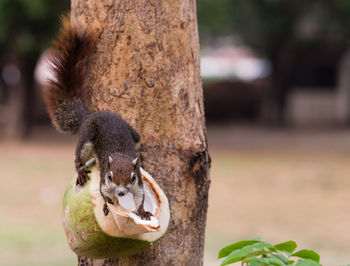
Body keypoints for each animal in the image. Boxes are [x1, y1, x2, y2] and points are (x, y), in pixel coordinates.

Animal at [42, 17, 152, 220]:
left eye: (132, 177)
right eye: (110, 176)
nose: (121, 193)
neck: (119, 155)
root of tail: (93, 115)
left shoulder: (139, 183)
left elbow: (140, 196)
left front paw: (142, 211)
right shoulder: (103, 181)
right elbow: (103, 193)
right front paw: (108, 203)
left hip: (134, 134)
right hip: (87, 137)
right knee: (78, 157)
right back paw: (80, 170)